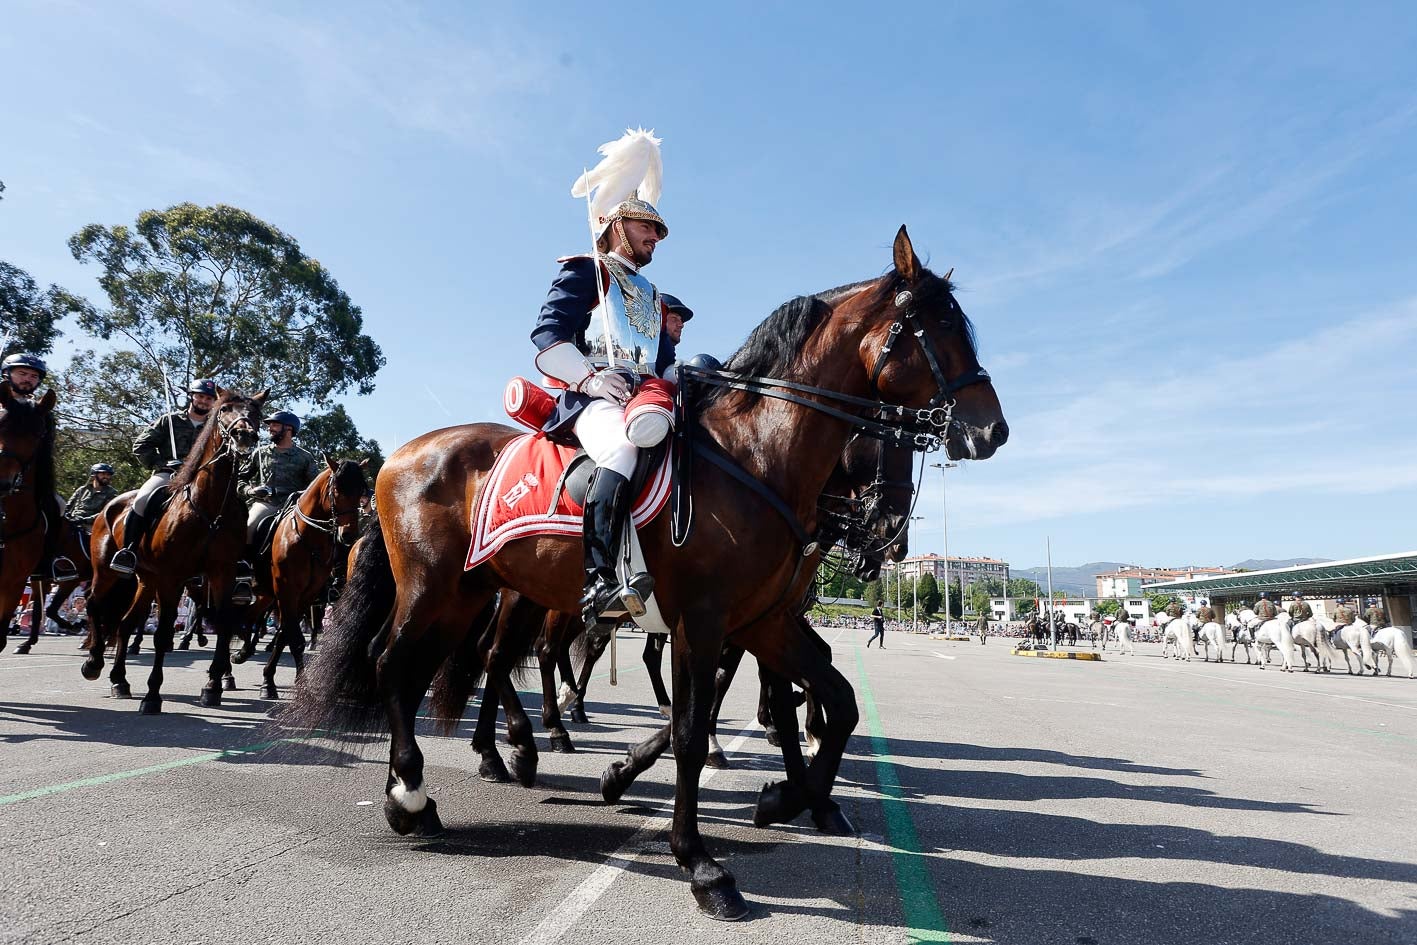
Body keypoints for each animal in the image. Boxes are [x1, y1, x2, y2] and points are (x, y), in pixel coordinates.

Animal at [83, 388, 267, 714]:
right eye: (225, 410)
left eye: (256, 413)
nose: (244, 435)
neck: (210, 505)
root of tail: (110, 506)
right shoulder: (173, 577)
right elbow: (162, 634)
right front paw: (152, 695)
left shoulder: (222, 573)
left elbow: (223, 623)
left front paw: (212, 687)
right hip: (106, 571)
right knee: (94, 604)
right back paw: (93, 663)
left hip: (146, 580)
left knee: (125, 624)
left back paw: (120, 681)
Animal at [287, 225, 1003, 918]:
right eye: (937, 325)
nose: (990, 430)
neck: (755, 456)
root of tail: (400, 452)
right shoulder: (704, 621)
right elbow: (692, 729)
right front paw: (702, 863)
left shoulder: (765, 622)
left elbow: (837, 699)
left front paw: (791, 799)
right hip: (438, 591)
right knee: (404, 665)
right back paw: (438, 781)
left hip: (470, 593)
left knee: (425, 667)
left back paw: (424, 790)